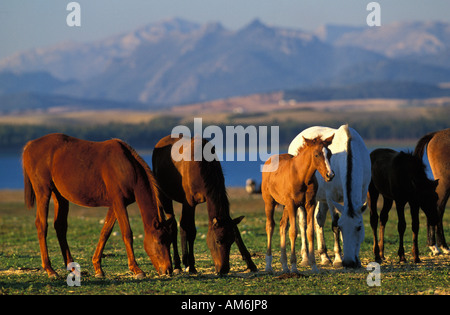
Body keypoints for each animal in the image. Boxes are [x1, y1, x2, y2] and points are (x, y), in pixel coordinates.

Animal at [22, 133, 174, 278]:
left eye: (169, 241)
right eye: (159, 241)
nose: (168, 270)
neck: (127, 168)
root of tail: (29, 145)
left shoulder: (115, 205)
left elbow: (105, 232)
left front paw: (98, 268)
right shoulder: (119, 202)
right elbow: (127, 233)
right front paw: (137, 270)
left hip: (59, 196)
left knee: (60, 227)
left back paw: (73, 269)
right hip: (43, 192)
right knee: (41, 225)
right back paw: (50, 270)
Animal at [151, 135, 256, 276]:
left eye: (231, 241)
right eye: (218, 241)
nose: (224, 269)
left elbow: (235, 230)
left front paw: (250, 263)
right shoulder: (189, 202)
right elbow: (190, 230)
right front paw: (191, 265)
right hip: (165, 197)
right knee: (173, 226)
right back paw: (178, 265)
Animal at [260, 135, 334, 274]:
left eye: (330, 154)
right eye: (316, 155)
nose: (330, 175)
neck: (302, 176)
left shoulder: (310, 204)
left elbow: (310, 231)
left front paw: (314, 266)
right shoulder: (292, 204)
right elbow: (293, 232)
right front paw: (294, 266)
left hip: (285, 206)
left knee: (282, 225)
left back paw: (284, 266)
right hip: (269, 202)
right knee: (270, 226)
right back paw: (268, 265)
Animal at [288, 124, 372, 268]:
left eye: (359, 227)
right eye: (342, 227)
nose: (349, 262)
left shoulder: (360, 196)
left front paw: (357, 260)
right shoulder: (331, 197)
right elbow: (334, 225)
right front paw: (338, 260)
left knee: (318, 219)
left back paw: (325, 257)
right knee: (303, 223)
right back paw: (305, 258)